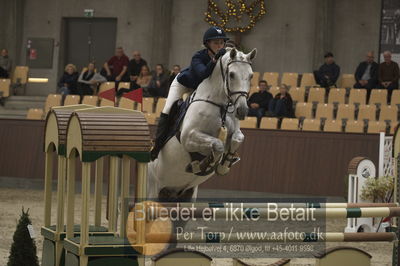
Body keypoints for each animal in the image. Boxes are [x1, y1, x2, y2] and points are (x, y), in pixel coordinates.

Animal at [147, 47, 256, 202]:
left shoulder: (234, 132)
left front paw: (223, 166)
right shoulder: (188, 137)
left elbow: (237, 138)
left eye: (251, 76)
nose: (242, 110)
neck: (219, 105)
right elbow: (217, 144)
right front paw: (205, 164)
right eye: (231, 74)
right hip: (154, 190)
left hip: (187, 195)